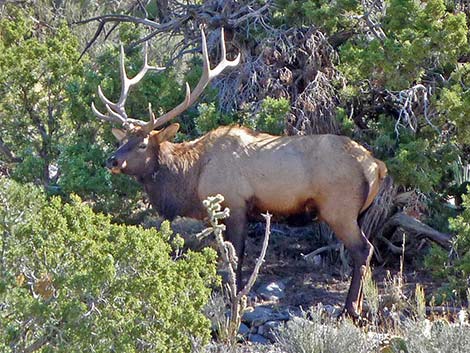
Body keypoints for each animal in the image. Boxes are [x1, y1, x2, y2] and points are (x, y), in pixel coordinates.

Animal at [91, 27, 386, 316]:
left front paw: (234, 295)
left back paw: (350, 309)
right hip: (355, 213)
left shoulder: (235, 204)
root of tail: (377, 167)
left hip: (339, 209)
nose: (112, 161)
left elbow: (236, 257)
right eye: (121, 141)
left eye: (142, 143)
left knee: (363, 250)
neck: (191, 177)